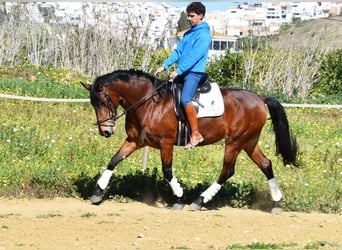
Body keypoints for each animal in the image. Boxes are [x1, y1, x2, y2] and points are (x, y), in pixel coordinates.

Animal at [81, 69, 298, 212]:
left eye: (103, 101)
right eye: (93, 103)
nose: (105, 131)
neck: (148, 103)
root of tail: (260, 99)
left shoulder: (165, 143)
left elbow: (167, 171)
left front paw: (179, 198)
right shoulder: (135, 140)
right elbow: (114, 160)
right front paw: (97, 192)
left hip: (235, 142)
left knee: (227, 171)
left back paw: (199, 200)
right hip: (249, 142)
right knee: (266, 165)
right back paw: (276, 203)